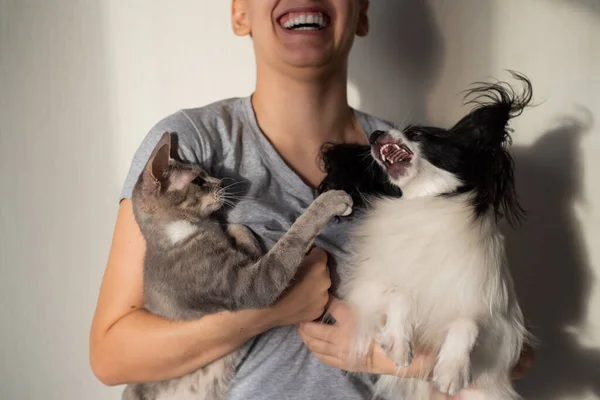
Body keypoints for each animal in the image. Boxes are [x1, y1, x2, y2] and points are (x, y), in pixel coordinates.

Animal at [122, 133, 352, 400]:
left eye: (206, 172)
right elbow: (289, 242)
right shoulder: (248, 285)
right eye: (198, 180)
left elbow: (239, 230)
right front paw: (331, 201)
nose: (221, 182)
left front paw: (236, 233)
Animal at [322, 72, 532, 400]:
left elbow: (467, 322)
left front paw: (452, 368)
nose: (375, 133)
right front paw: (398, 342)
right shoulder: (365, 292)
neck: (425, 201)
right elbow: (400, 295)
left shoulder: (500, 326)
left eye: (417, 134)